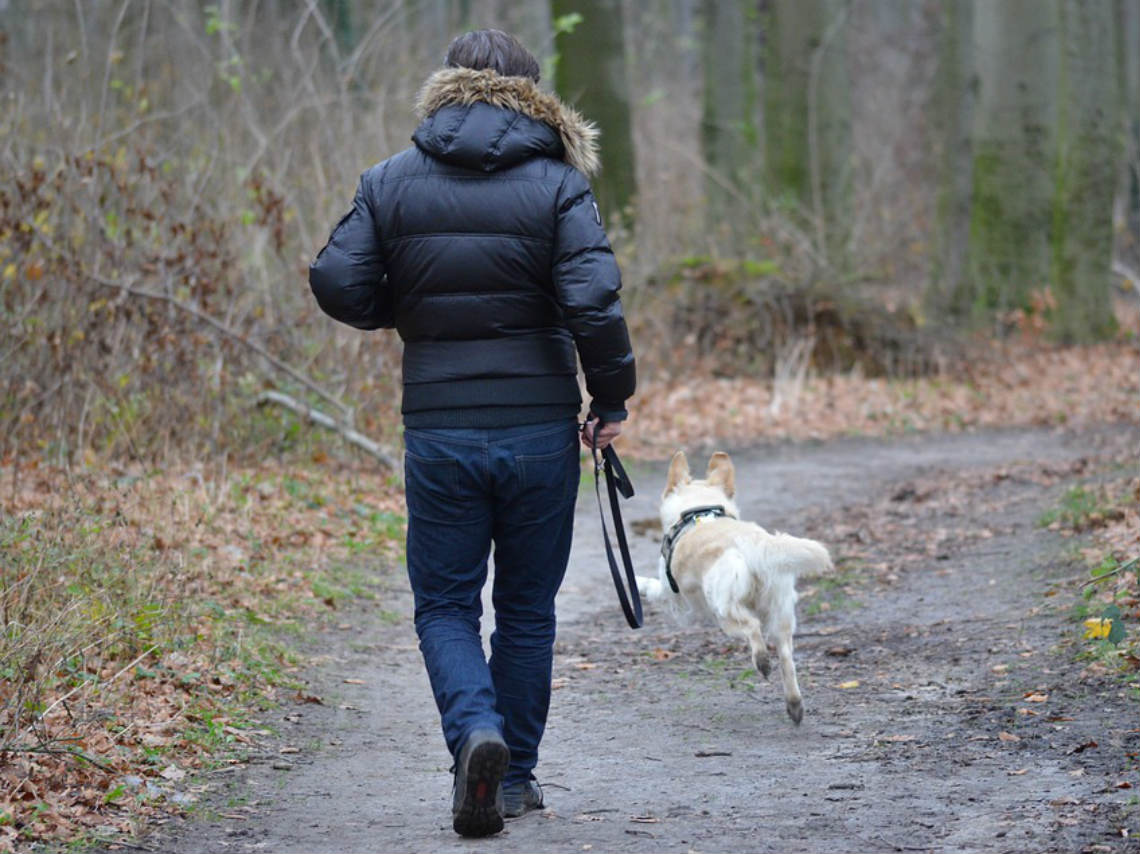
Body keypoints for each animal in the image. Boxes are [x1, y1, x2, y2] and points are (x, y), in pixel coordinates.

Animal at [638, 449, 834, 725]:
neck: (698, 510)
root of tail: (755, 544)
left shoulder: (672, 595)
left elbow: (652, 587)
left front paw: (636, 582)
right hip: (781, 613)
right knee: (786, 657)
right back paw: (794, 705)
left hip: (724, 611)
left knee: (753, 628)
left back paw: (762, 662)